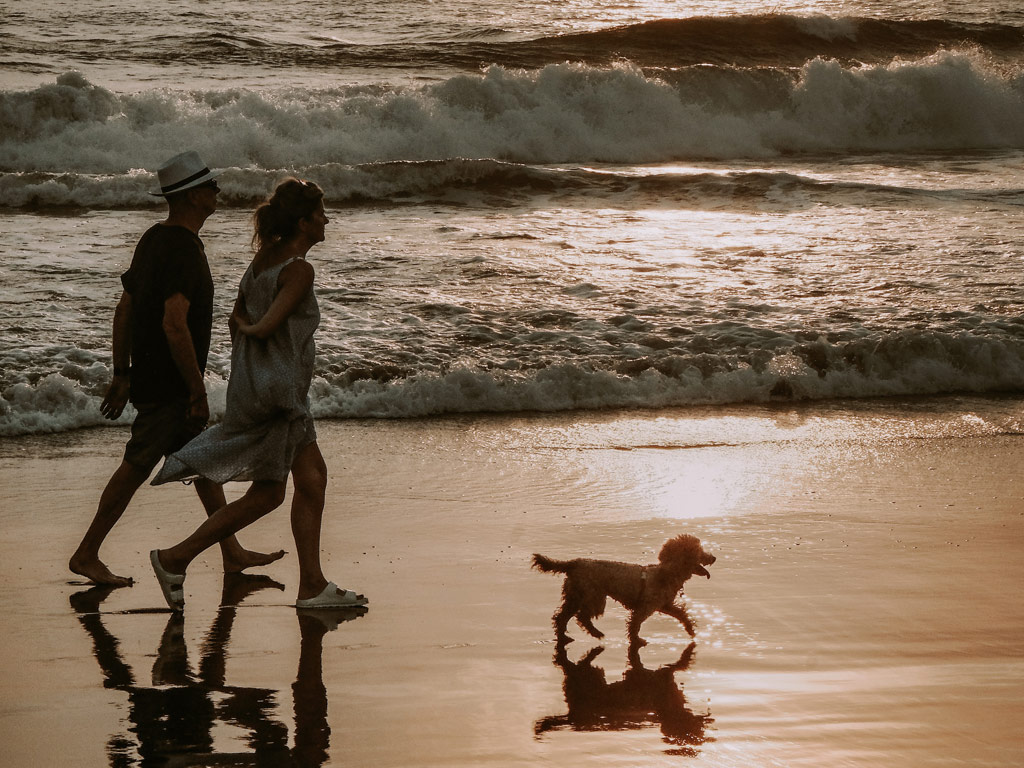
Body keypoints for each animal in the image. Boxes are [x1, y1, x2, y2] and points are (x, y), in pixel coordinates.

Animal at [532, 536, 716, 651]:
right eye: (700, 551)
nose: (713, 557)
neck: (667, 573)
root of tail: (573, 563)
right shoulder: (644, 607)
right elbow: (635, 624)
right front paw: (636, 640)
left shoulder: (664, 605)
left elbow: (681, 614)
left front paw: (691, 630)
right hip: (594, 597)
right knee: (581, 617)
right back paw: (596, 633)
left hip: (575, 595)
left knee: (562, 617)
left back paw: (564, 637)